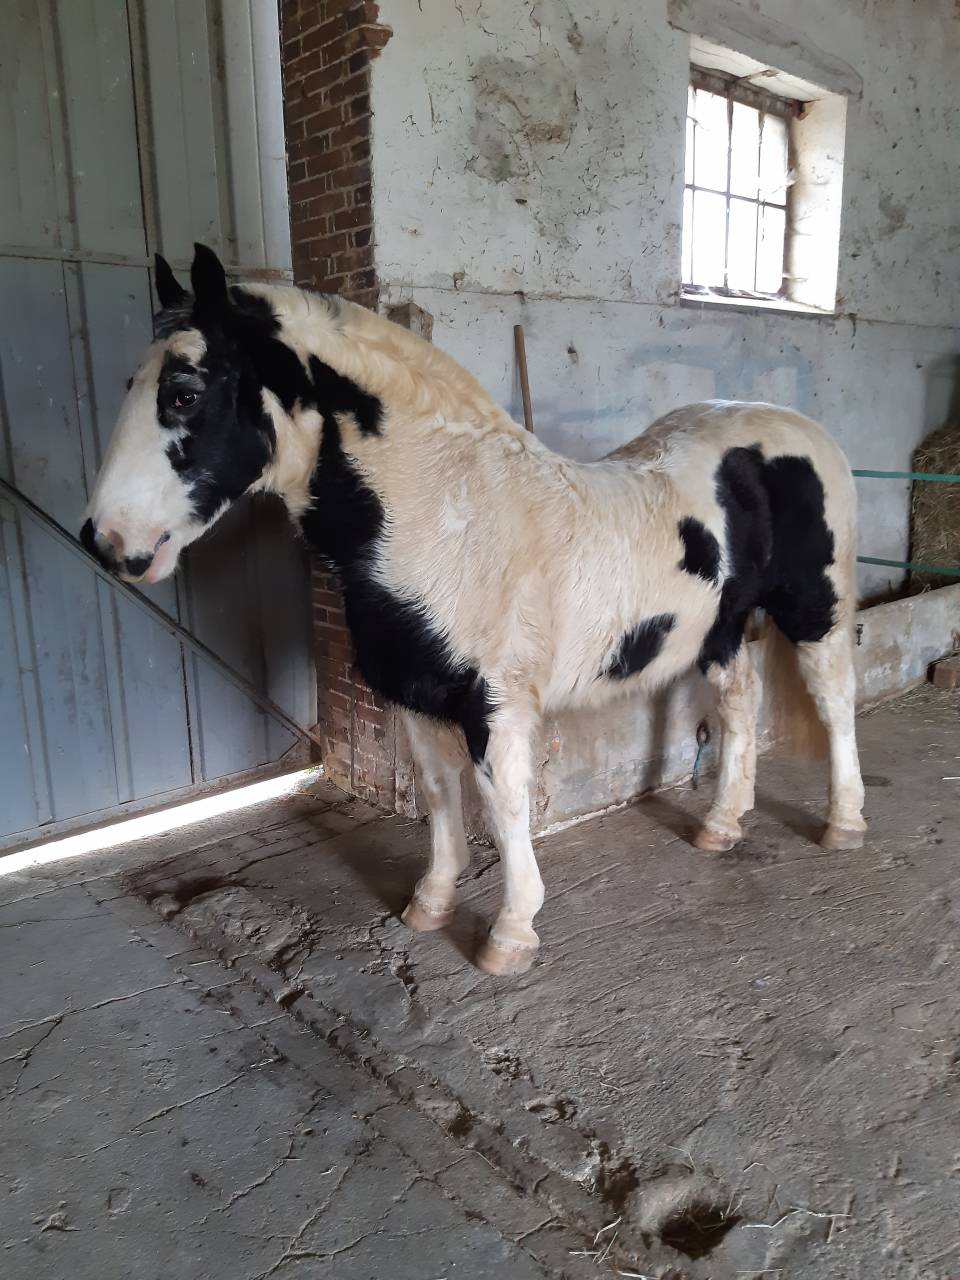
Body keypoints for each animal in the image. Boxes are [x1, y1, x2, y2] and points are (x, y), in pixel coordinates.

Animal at [81, 244, 866, 975]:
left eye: (184, 394)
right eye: (131, 386)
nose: (103, 541)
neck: (449, 518)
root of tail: (802, 431)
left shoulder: (498, 706)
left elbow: (504, 803)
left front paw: (510, 934)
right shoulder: (413, 694)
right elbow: (438, 792)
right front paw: (431, 902)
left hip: (814, 612)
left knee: (834, 703)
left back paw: (844, 823)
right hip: (721, 630)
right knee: (739, 708)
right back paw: (722, 826)